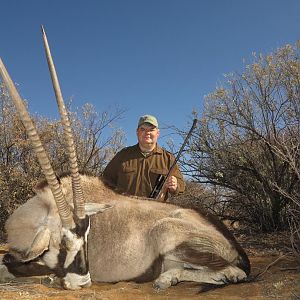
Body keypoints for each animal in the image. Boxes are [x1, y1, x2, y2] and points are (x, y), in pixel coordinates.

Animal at [0, 28, 251, 290]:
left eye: (87, 237)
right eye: (62, 241)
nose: (83, 282)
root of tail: (233, 244)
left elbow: (9, 268)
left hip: (169, 234)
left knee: (234, 272)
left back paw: (165, 279)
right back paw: (168, 277)